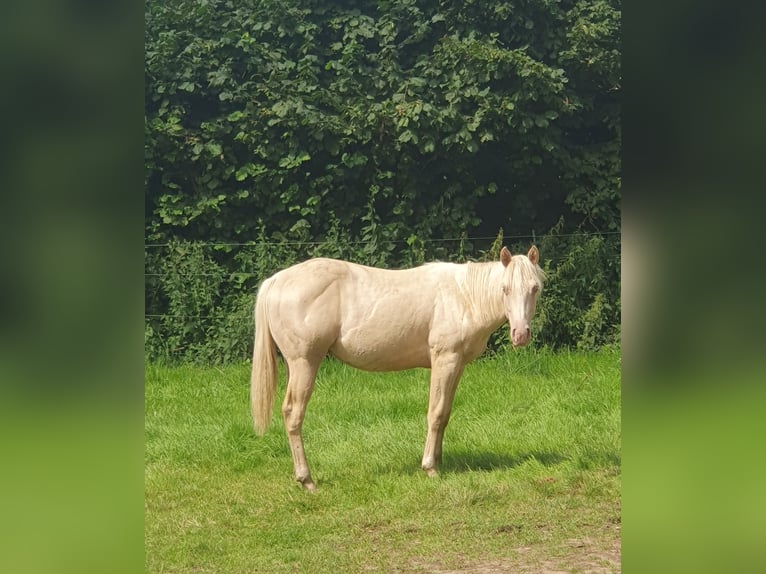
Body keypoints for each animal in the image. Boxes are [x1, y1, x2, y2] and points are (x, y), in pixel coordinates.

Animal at [249, 245, 544, 492]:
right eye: (505, 288)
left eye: (535, 288)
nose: (520, 335)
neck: (464, 297)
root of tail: (276, 281)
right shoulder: (445, 360)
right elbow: (435, 413)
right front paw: (430, 467)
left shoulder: (456, 365)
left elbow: (445, 414)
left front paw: (440, 461)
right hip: (305, 363)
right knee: (293, 414)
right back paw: (306, 479)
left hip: (295, 366)